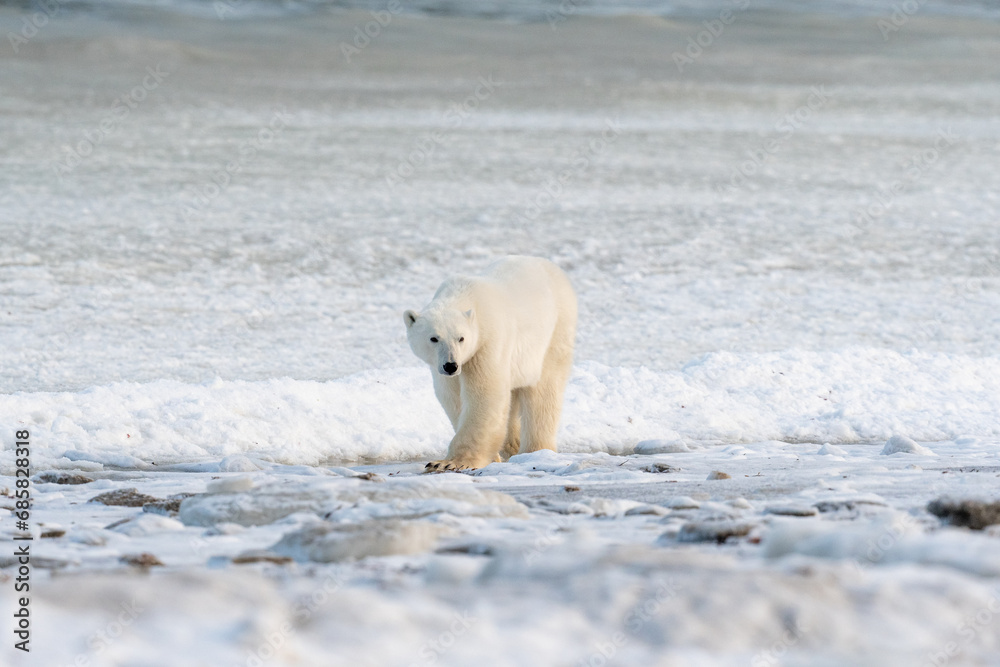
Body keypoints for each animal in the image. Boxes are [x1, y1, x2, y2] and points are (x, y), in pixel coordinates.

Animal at [404, 258, 580, 472]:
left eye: (461, 338)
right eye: (434, 338)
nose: (451, 365)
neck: (465, 295)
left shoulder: (487, 342)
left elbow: (485, 393)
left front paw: (448, 463)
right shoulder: (442, 367)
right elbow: (453, 397)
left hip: (554, 331)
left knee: (543, 391)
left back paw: (535, 451)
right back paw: (512, 446)